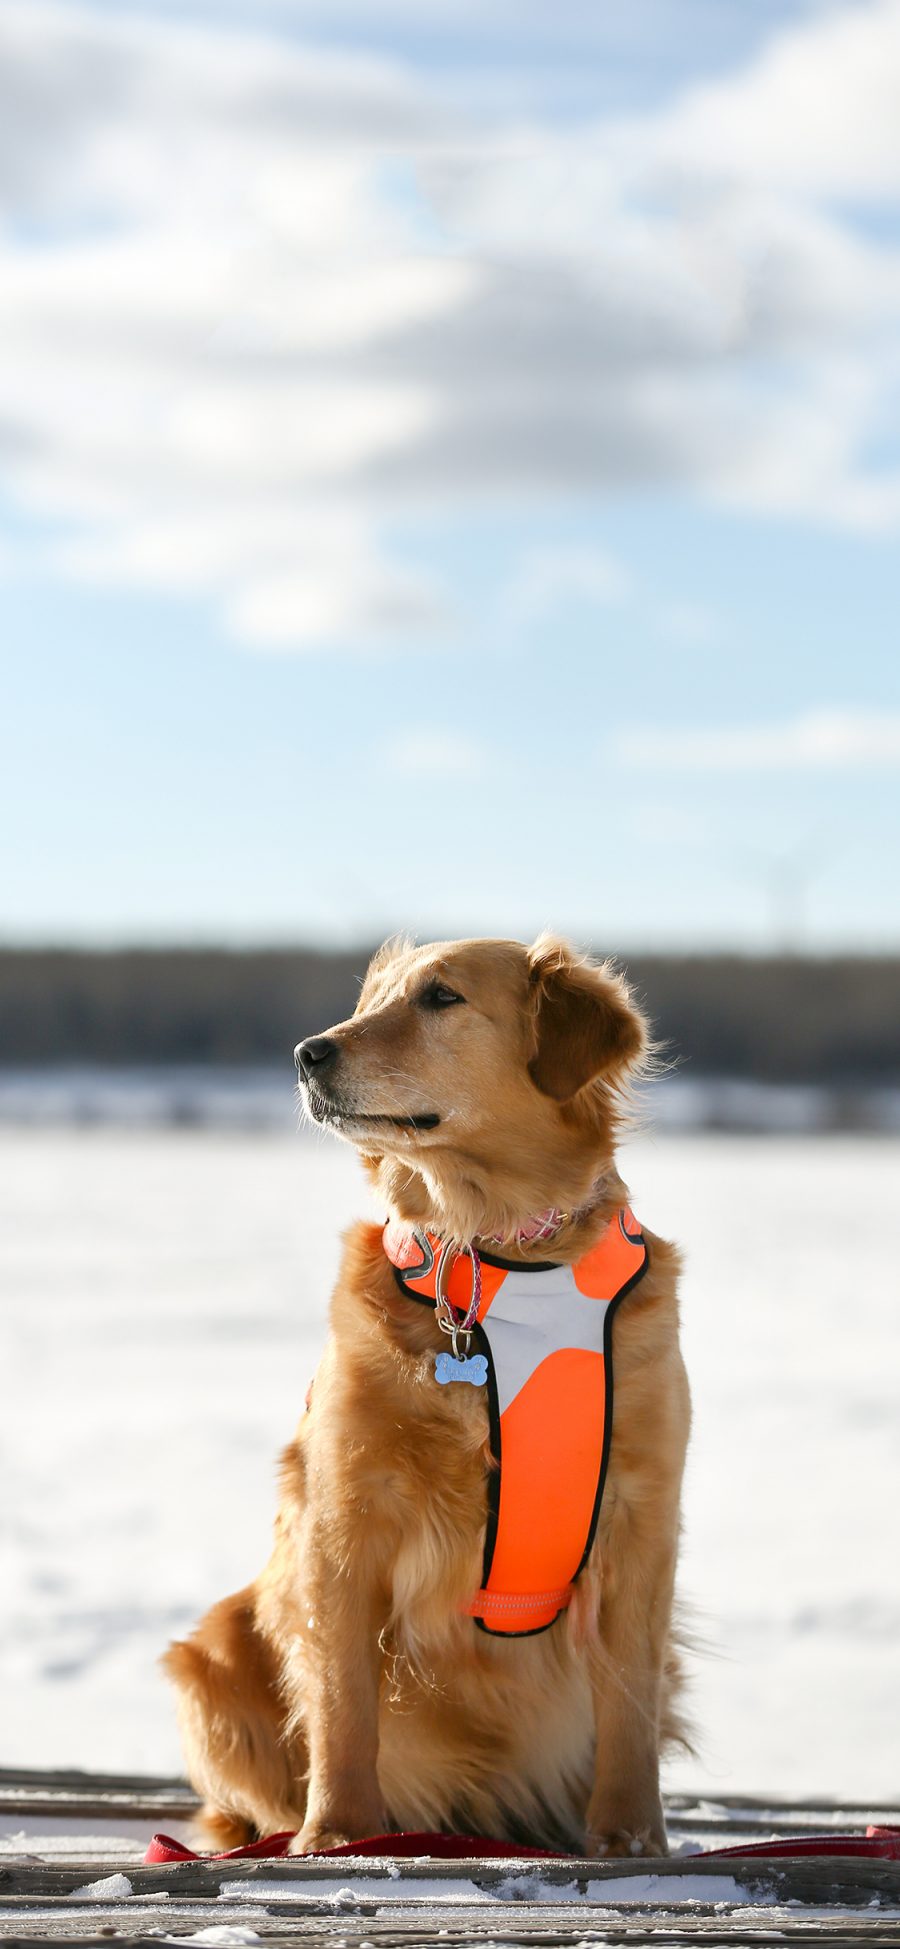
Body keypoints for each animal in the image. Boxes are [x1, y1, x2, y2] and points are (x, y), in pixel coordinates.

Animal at [165, 939, 693, 1855]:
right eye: (372, 999)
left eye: (441, 996)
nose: (307, 1053)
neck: (494, 1255)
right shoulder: (345, 1515)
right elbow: (343, 1702)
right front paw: (337, 1835)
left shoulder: (642, 1519)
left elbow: (629, 1705)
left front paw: (631, 1841)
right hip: (213, 1654)